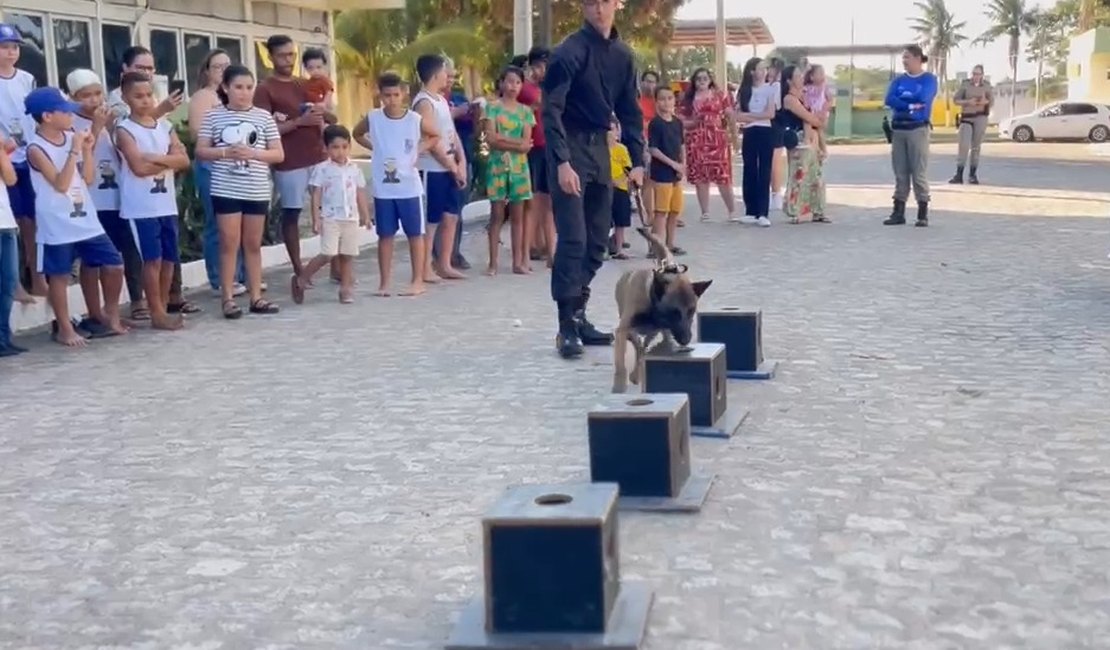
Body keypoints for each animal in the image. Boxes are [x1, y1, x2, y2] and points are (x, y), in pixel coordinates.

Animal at [617, 225, 710, 392]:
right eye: (673, 312)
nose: (686, 340)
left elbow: (644, 350)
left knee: (645, 346)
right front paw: (619, 385)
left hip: (655, 333)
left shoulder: (659, 331)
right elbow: (622, 361)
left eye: (692, 311)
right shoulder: (622, 330)